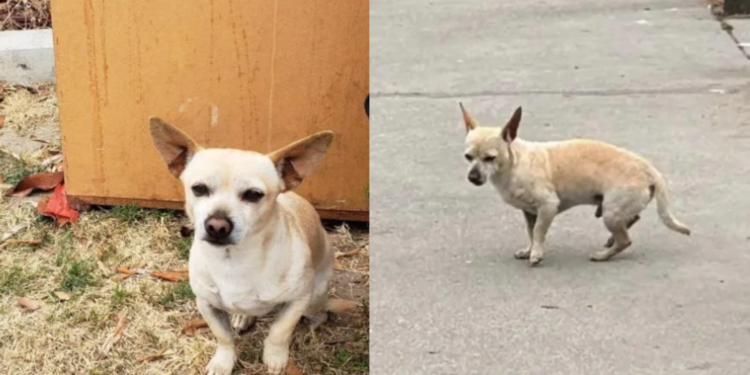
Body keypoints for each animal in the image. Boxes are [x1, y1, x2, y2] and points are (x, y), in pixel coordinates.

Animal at [149, 118, 358, 375]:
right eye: (199, 189)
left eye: (253, 195)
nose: (217, 225)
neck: (234, 260)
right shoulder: (206, 304)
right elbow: (223, 337)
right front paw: (223, 362)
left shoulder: (298, 300)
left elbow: (280, 331)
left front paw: (276, 357)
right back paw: (242, 317)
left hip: (314, 298)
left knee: (320, 316)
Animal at [462, 103, 696, 268]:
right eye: (468, 157)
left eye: (490, 158)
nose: (472, 177)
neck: (515, 163)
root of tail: (649, 170)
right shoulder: (529, 212)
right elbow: (530, 231)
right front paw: (530, 249)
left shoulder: (547, 207)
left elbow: (538, 231)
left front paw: (536, 254)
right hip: (615, 210)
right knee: (632, 219)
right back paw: (611, 241)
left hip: (610, 213)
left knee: (625, 240)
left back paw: (603, 255)